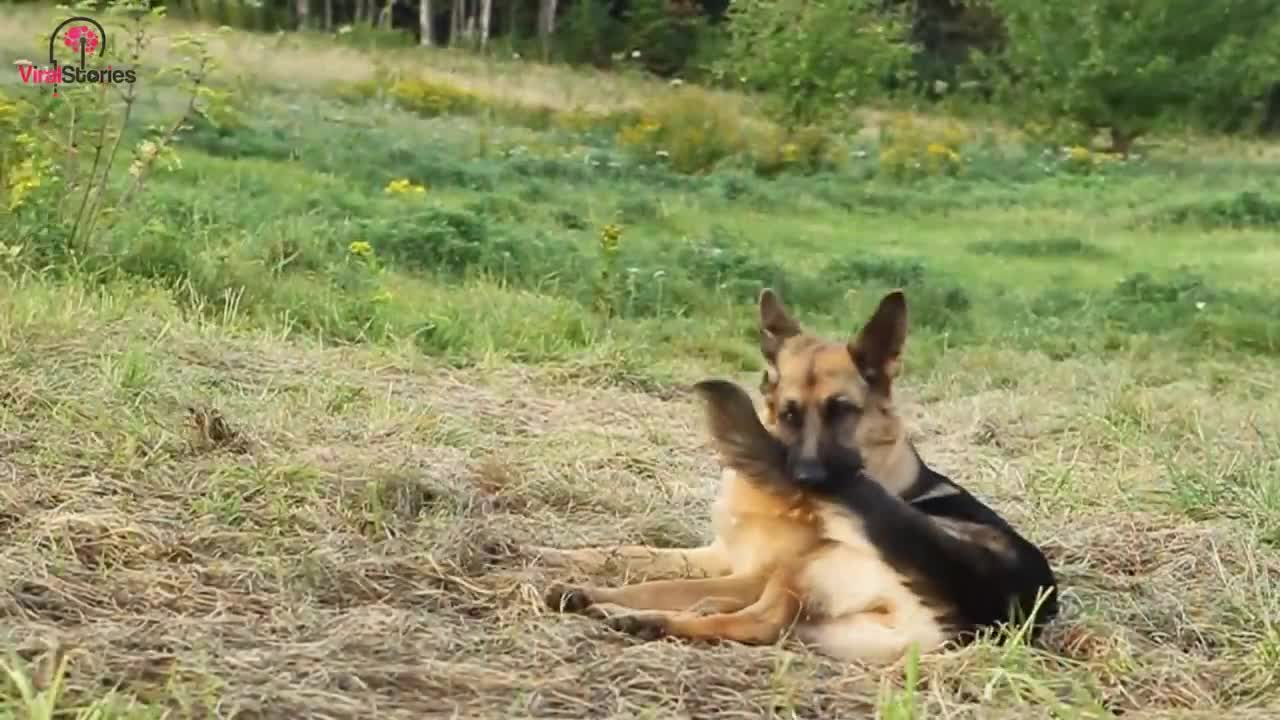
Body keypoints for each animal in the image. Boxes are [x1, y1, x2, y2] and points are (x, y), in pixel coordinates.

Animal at [524, 285, 1054, 661]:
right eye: (790, 413)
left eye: (842, 411)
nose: (808, 478)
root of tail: (984, 601)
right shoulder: (719, 555)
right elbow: (633, 553)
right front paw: (558, 554)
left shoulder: (749, 574)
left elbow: (659, 583)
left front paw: (598, 589)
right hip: (827, 624)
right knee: (753, 623)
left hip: (810, 567)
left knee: (753, 622)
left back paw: (639, 616)